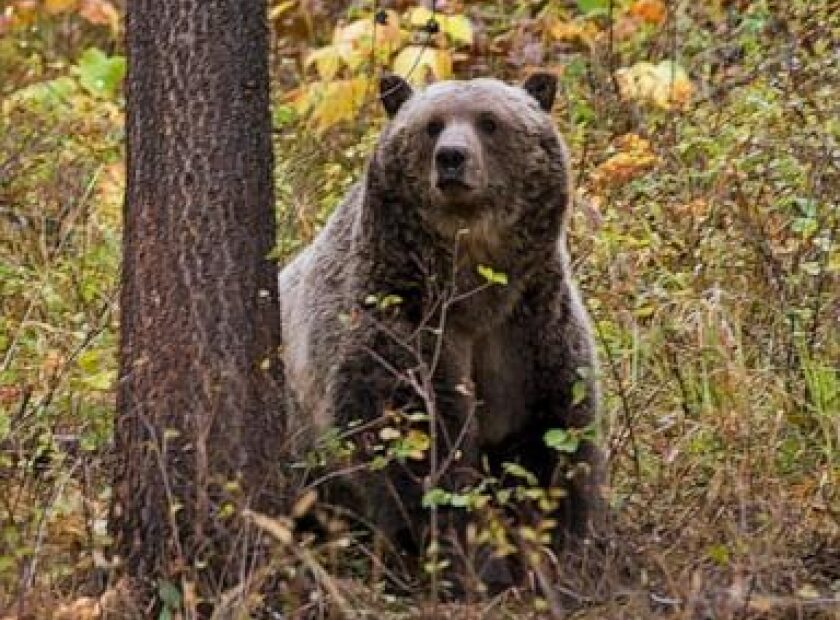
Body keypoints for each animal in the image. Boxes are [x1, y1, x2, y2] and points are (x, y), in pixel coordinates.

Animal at [280, 75, 604, 580]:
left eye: (489, 121)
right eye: (432, 124)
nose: (452, 156)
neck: (475, 291)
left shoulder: (530, 329)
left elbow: (551, 440)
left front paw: (553, 550)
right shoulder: (401, 321)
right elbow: (415, 447)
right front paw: (469, 560)